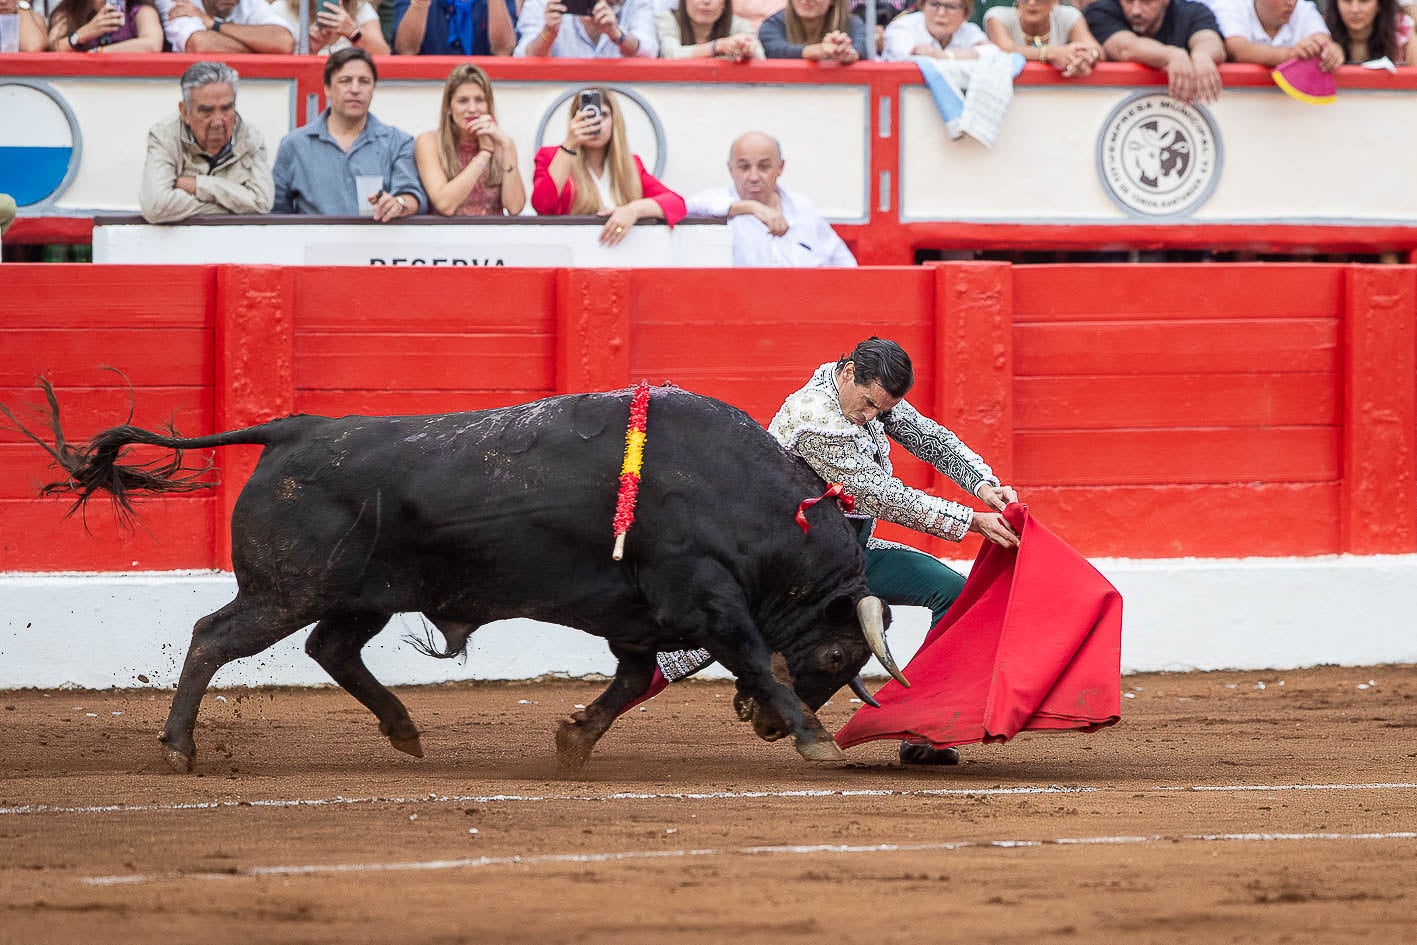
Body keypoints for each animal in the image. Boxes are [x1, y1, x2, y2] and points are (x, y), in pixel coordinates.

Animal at [8, 385, 906, 776]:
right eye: (836, 659)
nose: (762, 726)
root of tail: (293, 428)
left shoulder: (639, 619)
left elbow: (628, 682)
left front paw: (573, 739)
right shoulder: (704, 599)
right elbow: (750, 653)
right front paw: (814, 736)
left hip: (359, 598)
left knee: (332, 650)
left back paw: (404, 729)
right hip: (285, 588)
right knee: (211, 636)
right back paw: (180, 746)